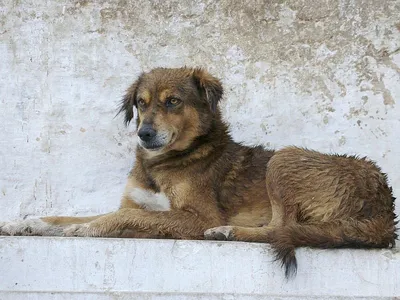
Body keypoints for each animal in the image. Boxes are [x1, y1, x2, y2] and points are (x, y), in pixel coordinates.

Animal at [1, 67, 398, 278]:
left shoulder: (197, 217)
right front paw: (27, 223)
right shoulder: (138, 204)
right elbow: (68, 215)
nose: (144, 134)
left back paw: (228, 232)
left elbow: (116, 218)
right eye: (141, 103)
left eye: (172, 102)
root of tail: (384, 205)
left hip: (283, 160)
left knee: (279, 228)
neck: (163, 162)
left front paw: (90, 228)